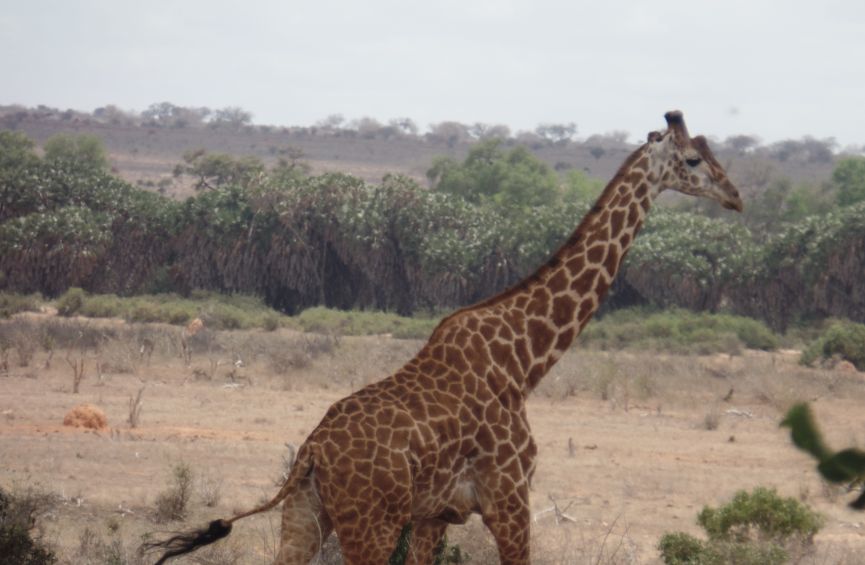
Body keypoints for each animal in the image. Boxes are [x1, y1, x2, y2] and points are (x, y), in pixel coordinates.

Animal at [150, 111, 744, 564]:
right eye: (693, 159)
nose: (736, 195)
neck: (524, 361)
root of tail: (311, 452)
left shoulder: (436, 514)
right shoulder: (509, 499)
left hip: (304, 517)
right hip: (369, 524)